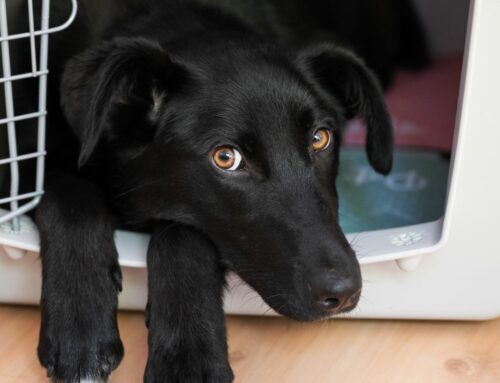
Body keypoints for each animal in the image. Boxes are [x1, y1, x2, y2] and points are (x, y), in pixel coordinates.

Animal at [10, 0, 390, 382]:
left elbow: (182, 235)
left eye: (320, 138)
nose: (343, 292)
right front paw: (80, 326)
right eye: (225, 157)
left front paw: (188, 356)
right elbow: (69, 196)